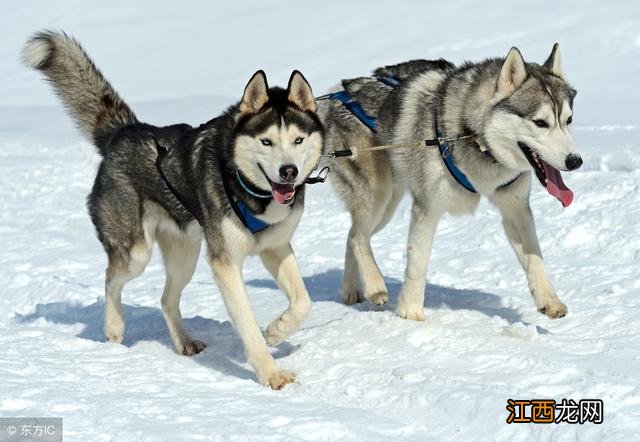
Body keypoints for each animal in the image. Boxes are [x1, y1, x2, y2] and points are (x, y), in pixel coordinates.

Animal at [22, 31, 322, 388]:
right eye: (266, 142)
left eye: (298, 140)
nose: (288, 172)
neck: (251, 191)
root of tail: (126, 131)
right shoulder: (225, 264)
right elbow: (248, 324)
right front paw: (270, 373)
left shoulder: (275, 247)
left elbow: (303, 301)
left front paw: (277, 331)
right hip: (136, 253)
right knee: (110, 278)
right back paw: (114, 327)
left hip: (185, 256)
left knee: (166, 299)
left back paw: (184, 341)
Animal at [320, 45, 580, 322]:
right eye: (540, 122)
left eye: (569, 120)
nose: (576, 161)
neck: (476, 141)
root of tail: (337, 94)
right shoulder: (427, 208)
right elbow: (418, 263)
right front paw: (410, 315)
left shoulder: (515, 208)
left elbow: (535, 256)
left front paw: (549, 300)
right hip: (377, 197)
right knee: (359, 237)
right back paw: (375, 285)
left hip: (387, 205)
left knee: (352, 235)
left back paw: (352, 289)